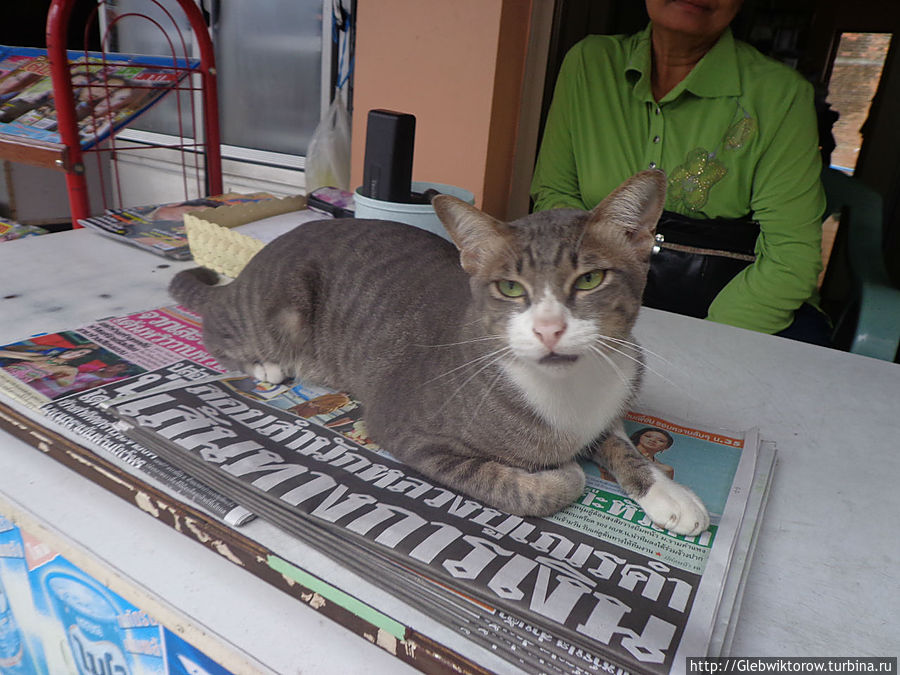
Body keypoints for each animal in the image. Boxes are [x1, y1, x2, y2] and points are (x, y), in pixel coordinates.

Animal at [171, 172, 712, 536]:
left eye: (591, 279)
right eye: (510, 288)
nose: (549, 329)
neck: (567, 390)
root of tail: (253, 263)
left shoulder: (611, 398)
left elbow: (620, 442)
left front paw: (669, 494)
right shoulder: (408, 431)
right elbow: (517, 485)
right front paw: (563, 473)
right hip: (280, 309)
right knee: (217, 326)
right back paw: (264, 362)